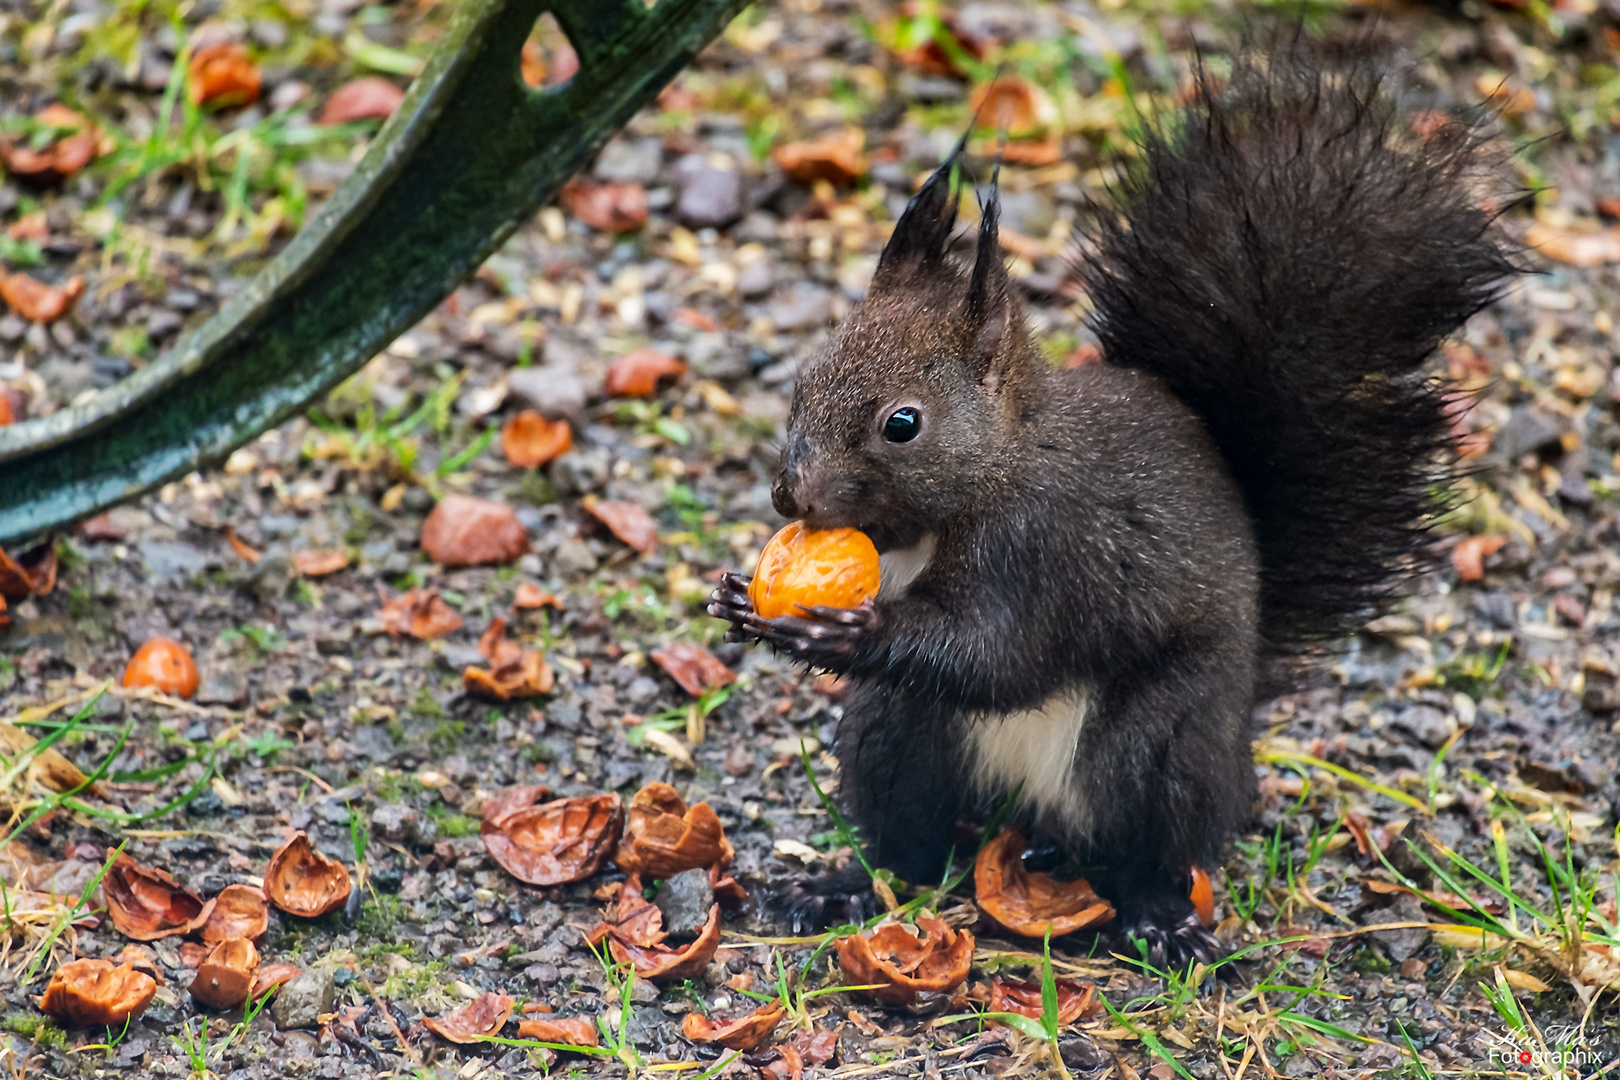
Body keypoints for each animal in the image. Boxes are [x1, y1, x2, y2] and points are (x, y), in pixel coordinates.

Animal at [706, 46, 1516, 965]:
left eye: (901, 424)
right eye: (802, 381)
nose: (789, 493)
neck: (982, 483)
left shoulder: (1044, 548)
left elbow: (997, 653)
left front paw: (847, 632)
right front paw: (738, 600)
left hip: (1159, 747)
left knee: (1152, 849)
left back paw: (1160, 917)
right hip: (896, 733)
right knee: (913, 846)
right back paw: (839, 886)